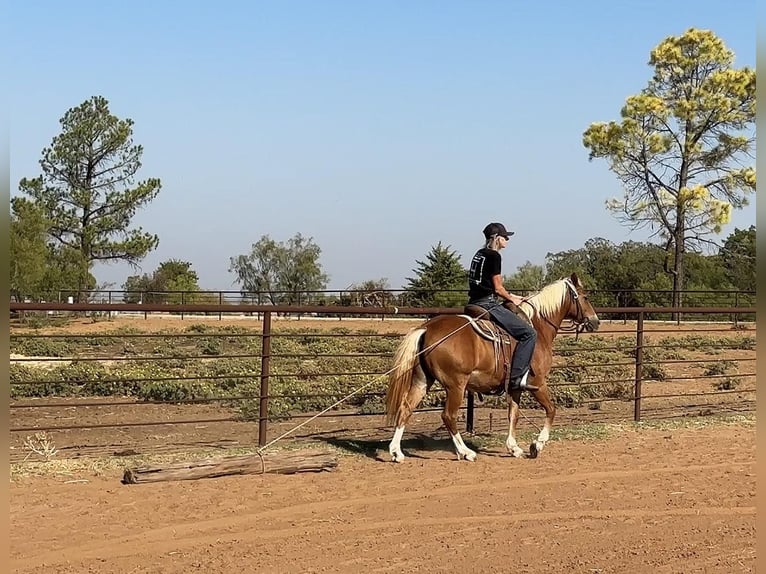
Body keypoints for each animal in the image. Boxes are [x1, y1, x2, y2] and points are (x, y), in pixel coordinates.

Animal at [388, 274, 604, 464]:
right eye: (585, 297)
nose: (596, 321)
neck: (538, 327)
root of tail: (427, 328)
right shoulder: (538, 383)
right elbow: (551, 410)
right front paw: (537, 444)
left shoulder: (516, 386)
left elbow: (513, 415)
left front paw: (514, 448)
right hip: (456, 385)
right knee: (448, 416)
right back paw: (466, 452)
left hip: (422, 380)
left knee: (406, 408)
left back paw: (397, 452)